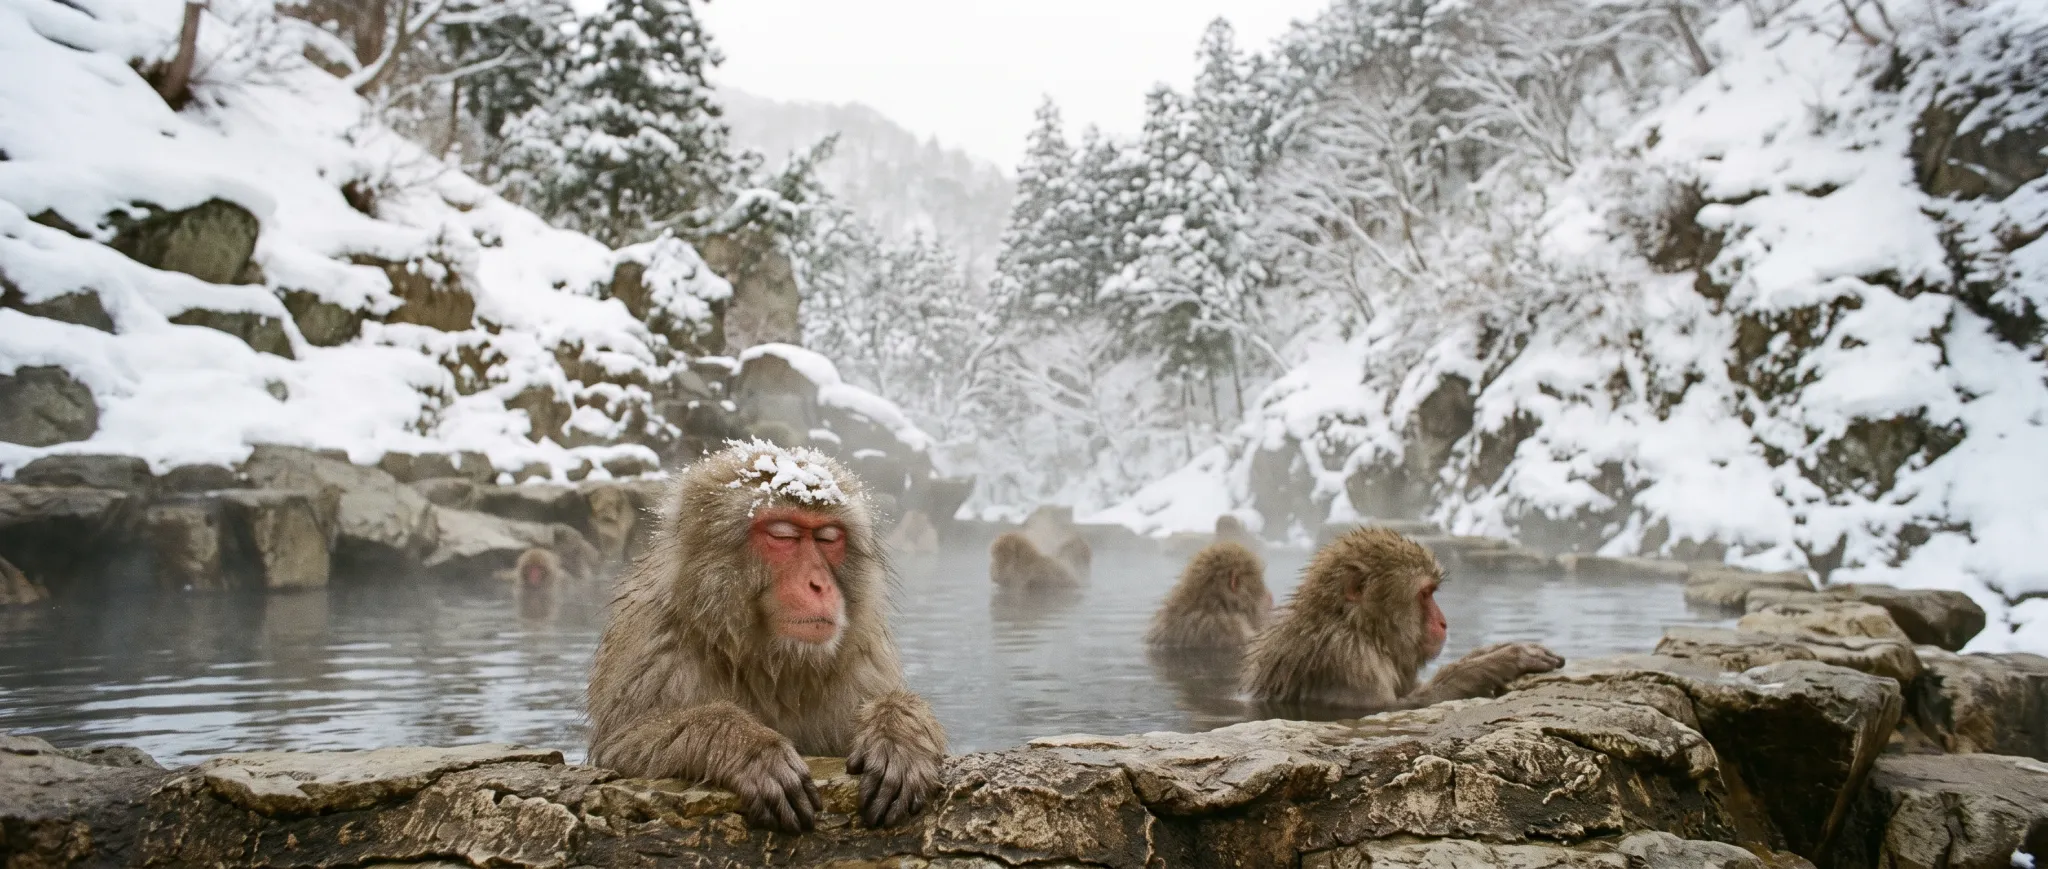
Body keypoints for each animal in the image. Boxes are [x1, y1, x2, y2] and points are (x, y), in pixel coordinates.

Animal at [586, 440, 947, 834]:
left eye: (828, 537)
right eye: (783, 535)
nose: (819, 584)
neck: (772, 664)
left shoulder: (863, 663)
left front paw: (897, 733)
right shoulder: (656, 649)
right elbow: (623, 746)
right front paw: (748, 745)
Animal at [1240, 526, 1564, 718]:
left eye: (1432, 593)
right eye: (1424, 594)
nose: (1443, 623)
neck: (1361, 628)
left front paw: (1489, 652)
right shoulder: (1347, 660)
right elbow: (1394, 707)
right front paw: (1504, 659)